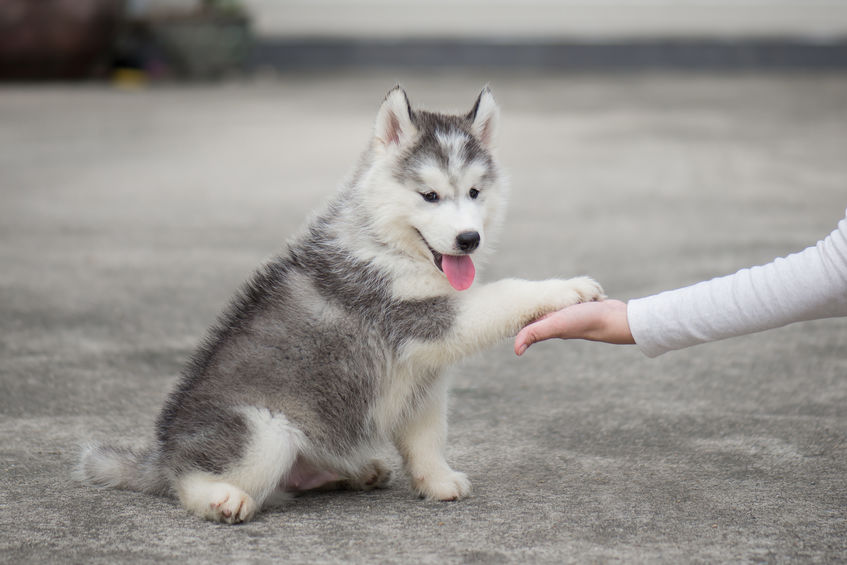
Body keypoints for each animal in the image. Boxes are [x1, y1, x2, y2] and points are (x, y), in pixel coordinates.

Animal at [76, 86, 600, 524]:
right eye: (429, 195)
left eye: (475, 192)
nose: (469, 239)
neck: (390, 246)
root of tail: (162, 454)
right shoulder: (415, 317)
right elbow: (504, 292)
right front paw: (567, 288)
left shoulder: (423, 380)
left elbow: (427, 437)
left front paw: (437, 481)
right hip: (264, 430)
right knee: (191, 479)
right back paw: (220, 498)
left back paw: (356, 472)